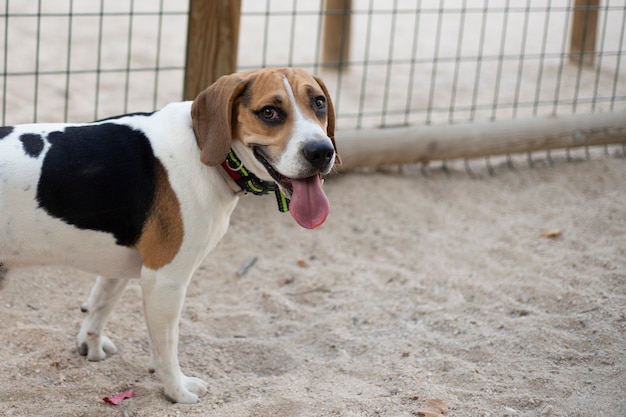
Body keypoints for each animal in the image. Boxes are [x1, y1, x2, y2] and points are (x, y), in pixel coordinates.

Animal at [0, 68, 338, 404]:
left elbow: (100, 305)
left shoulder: (118, 265)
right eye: (269, 112)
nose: (321, 152)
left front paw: (91, 345)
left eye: (319, 103)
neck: (202, 146)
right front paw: (177, 390)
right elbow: (166, 346)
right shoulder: (164, 279)